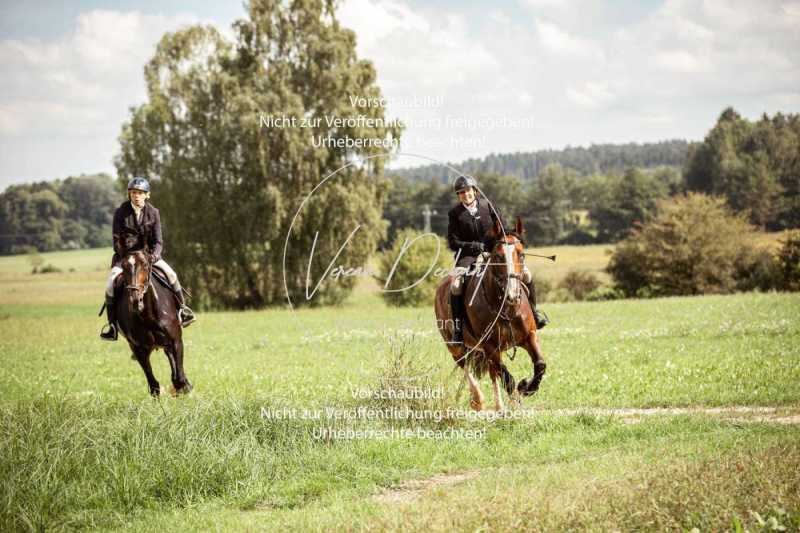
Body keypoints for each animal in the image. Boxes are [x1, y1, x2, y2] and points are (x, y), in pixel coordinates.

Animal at [114, 249, 194, 394]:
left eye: (145, 265)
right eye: (123, 267)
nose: (135, 299)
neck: (148, 315)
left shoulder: (176, 341)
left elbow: (179, 378)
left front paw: (186, 388)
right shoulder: (138, 349)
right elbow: (153, 385)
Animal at [434, 218, 548, 410]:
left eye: (521, 255)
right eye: (498, 256)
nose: (512, 295)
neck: (506, 308)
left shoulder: (529, 336)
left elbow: (540, 365)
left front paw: (527, 388)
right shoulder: (490, 346)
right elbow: (507, 377)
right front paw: (518, 396)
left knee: (489, 371)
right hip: (455, 347)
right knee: (466, 367)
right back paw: (478, 400)